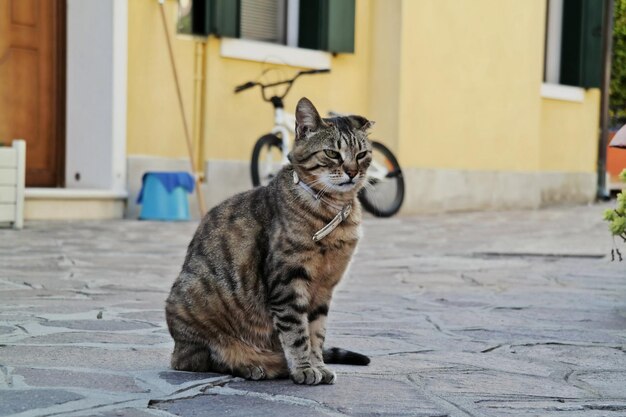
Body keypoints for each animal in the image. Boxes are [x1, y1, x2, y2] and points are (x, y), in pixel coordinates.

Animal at [163, 96, 372, 384]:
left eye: (362, 155)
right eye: (332, 153)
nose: (352, 171)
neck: (334, 210)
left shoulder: (324, 288)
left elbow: (316, 334)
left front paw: (318, 365)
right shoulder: (288, 281)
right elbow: (297, 334)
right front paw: (305, 368)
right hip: (192, 304)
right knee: (200, 359)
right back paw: (248, 366)